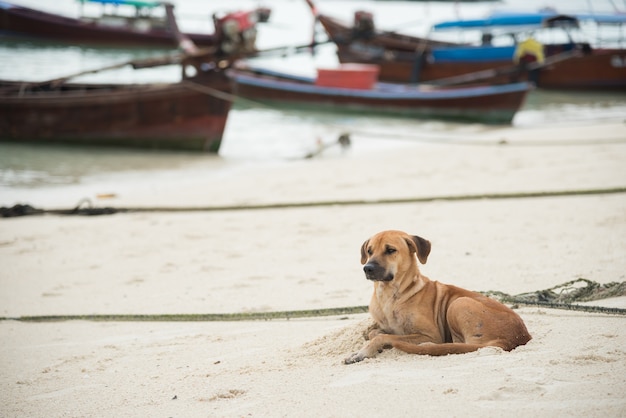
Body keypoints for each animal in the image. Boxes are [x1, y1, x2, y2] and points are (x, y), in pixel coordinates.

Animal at [344, 230, 528, 364]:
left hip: (458, 303)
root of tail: (516, 337)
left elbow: (381, 336)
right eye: (369, 251)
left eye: (390, 250)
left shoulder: (431, 334)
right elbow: (374, 332)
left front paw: (362, 352)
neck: (390, 294)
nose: (367, 268)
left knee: (470, 345)